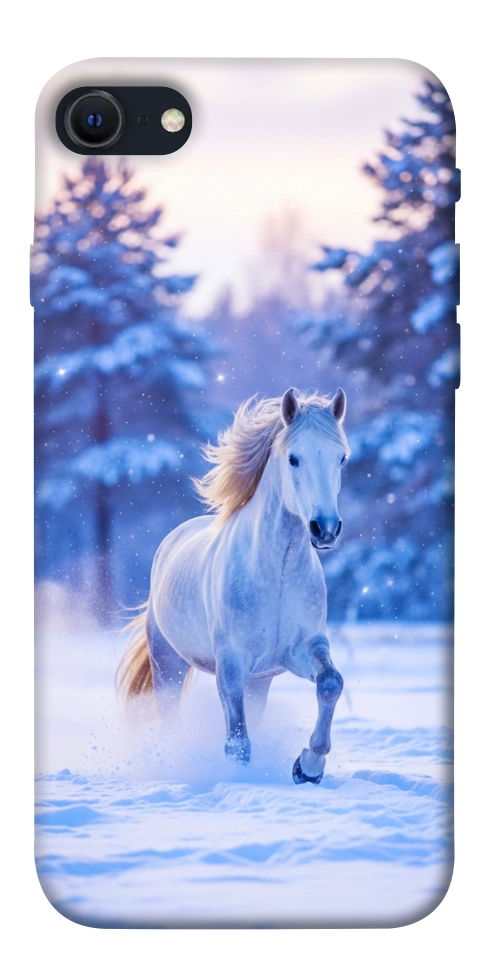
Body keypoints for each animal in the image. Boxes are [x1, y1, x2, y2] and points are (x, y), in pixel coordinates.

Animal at [118, 387, 350, 784]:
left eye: (341, 459)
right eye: (293, 458)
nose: (325, 529)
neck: (277, 573)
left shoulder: (302, 649)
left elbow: (331, 683)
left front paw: (308, 767)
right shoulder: (231, 664)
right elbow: (237, 742)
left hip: (259, 682)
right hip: (168, 665)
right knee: (170, 717)